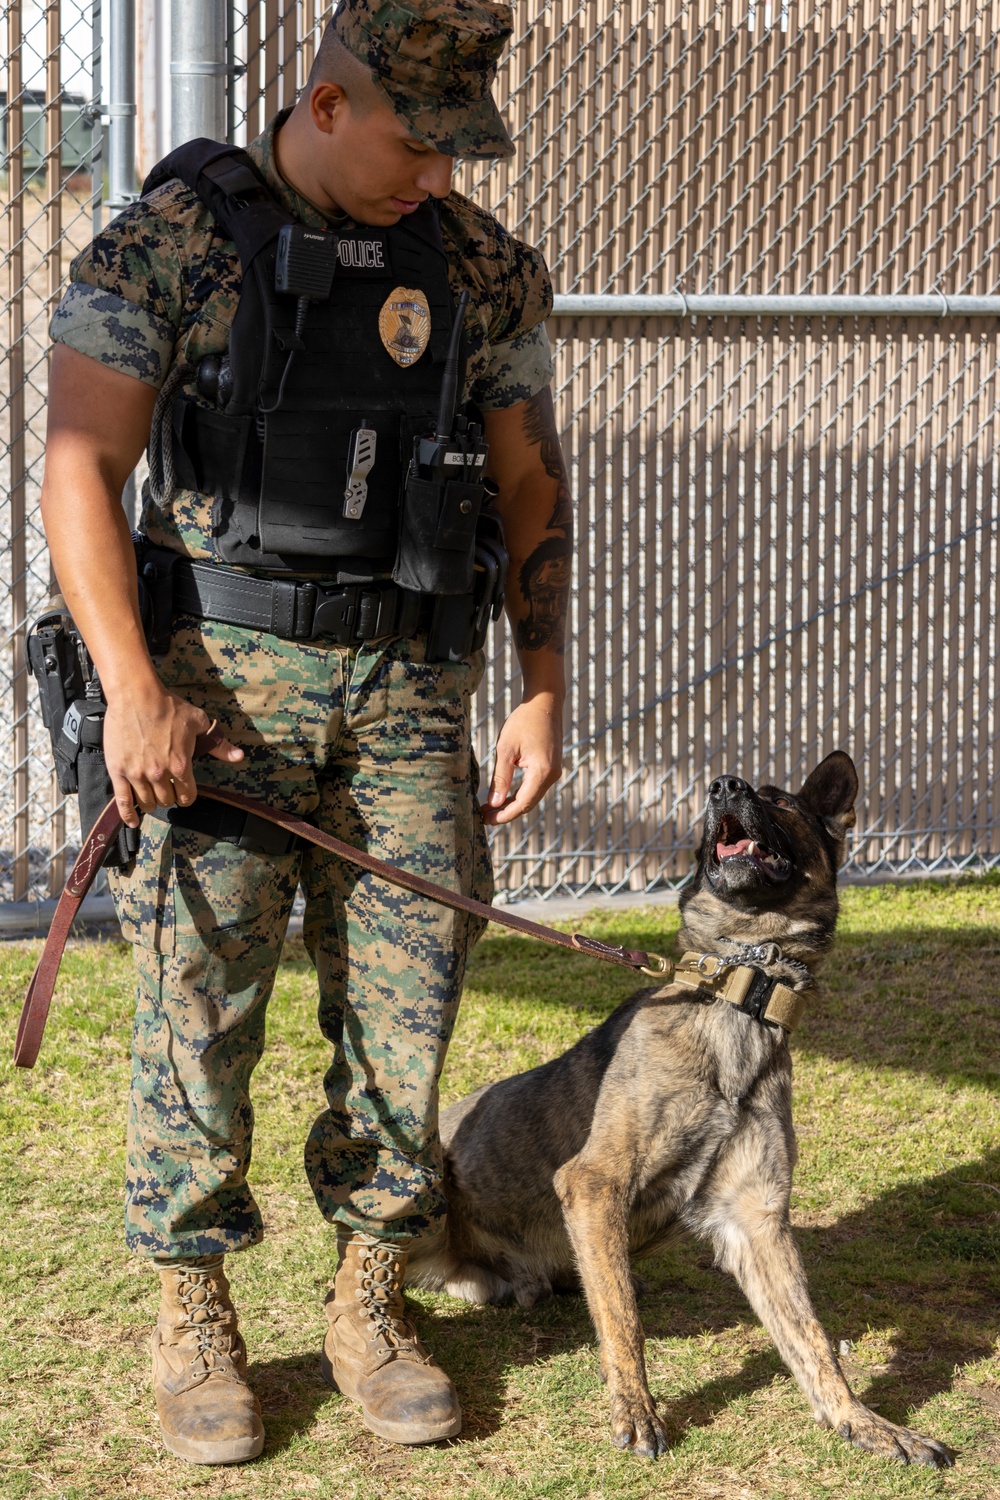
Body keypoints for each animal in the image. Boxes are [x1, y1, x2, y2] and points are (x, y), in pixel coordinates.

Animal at [407, 750, 953, 1464]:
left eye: (780, 800)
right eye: (742, 792)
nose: (722, 786)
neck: (737, 993)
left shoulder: (756, 1219)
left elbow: (811, 1340)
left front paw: (863, 1421)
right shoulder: (594, 1183)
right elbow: (624, 1320)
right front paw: (636, 1411)